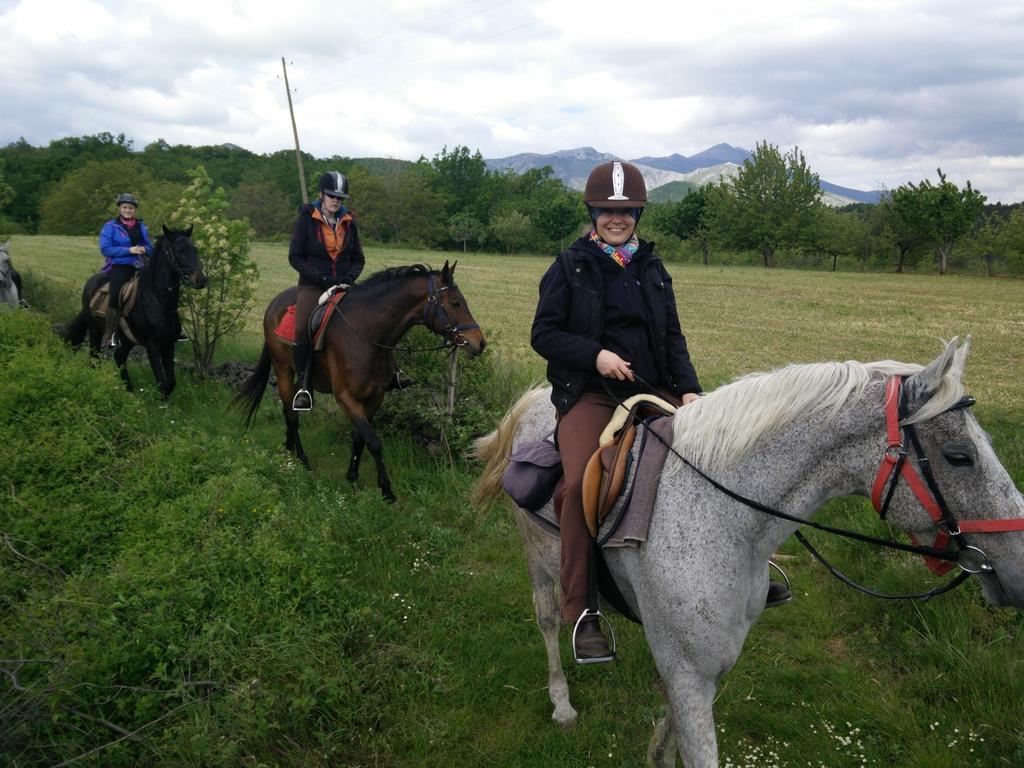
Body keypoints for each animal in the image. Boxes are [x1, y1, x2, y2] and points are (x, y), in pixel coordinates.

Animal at [62, 225, 207, 397]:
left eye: (195, 249)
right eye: (179, 250)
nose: (201, 280)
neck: (158, 300)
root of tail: (91, 283)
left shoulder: (168, 344)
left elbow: (171, 384)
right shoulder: (152, 346)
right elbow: (163, 384)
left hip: (126, 339)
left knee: (119, 357)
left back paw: (129, 391)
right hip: (95, 330)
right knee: (95, 358)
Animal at [233, 264, 487, 505]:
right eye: (455, 303)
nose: (480, 343)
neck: (365, 333)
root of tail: (274, 303)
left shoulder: (375, 397)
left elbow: (360, 438)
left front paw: (352, 477)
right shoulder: (346, 398)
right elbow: (374, 442)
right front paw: (386, 491)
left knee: (290, 410)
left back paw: (289, 447)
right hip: (283, 369)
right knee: (291, 414)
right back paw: (302, 460)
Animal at [471, 342, 1024, 768]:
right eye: (959, 457)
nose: (1019, 568)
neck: (721, 515)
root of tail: (535, 401)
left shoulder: (704, 665)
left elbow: (668, 733)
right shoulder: (690, 673)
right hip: (540, 562)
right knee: (548, 621)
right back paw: (562, 701)